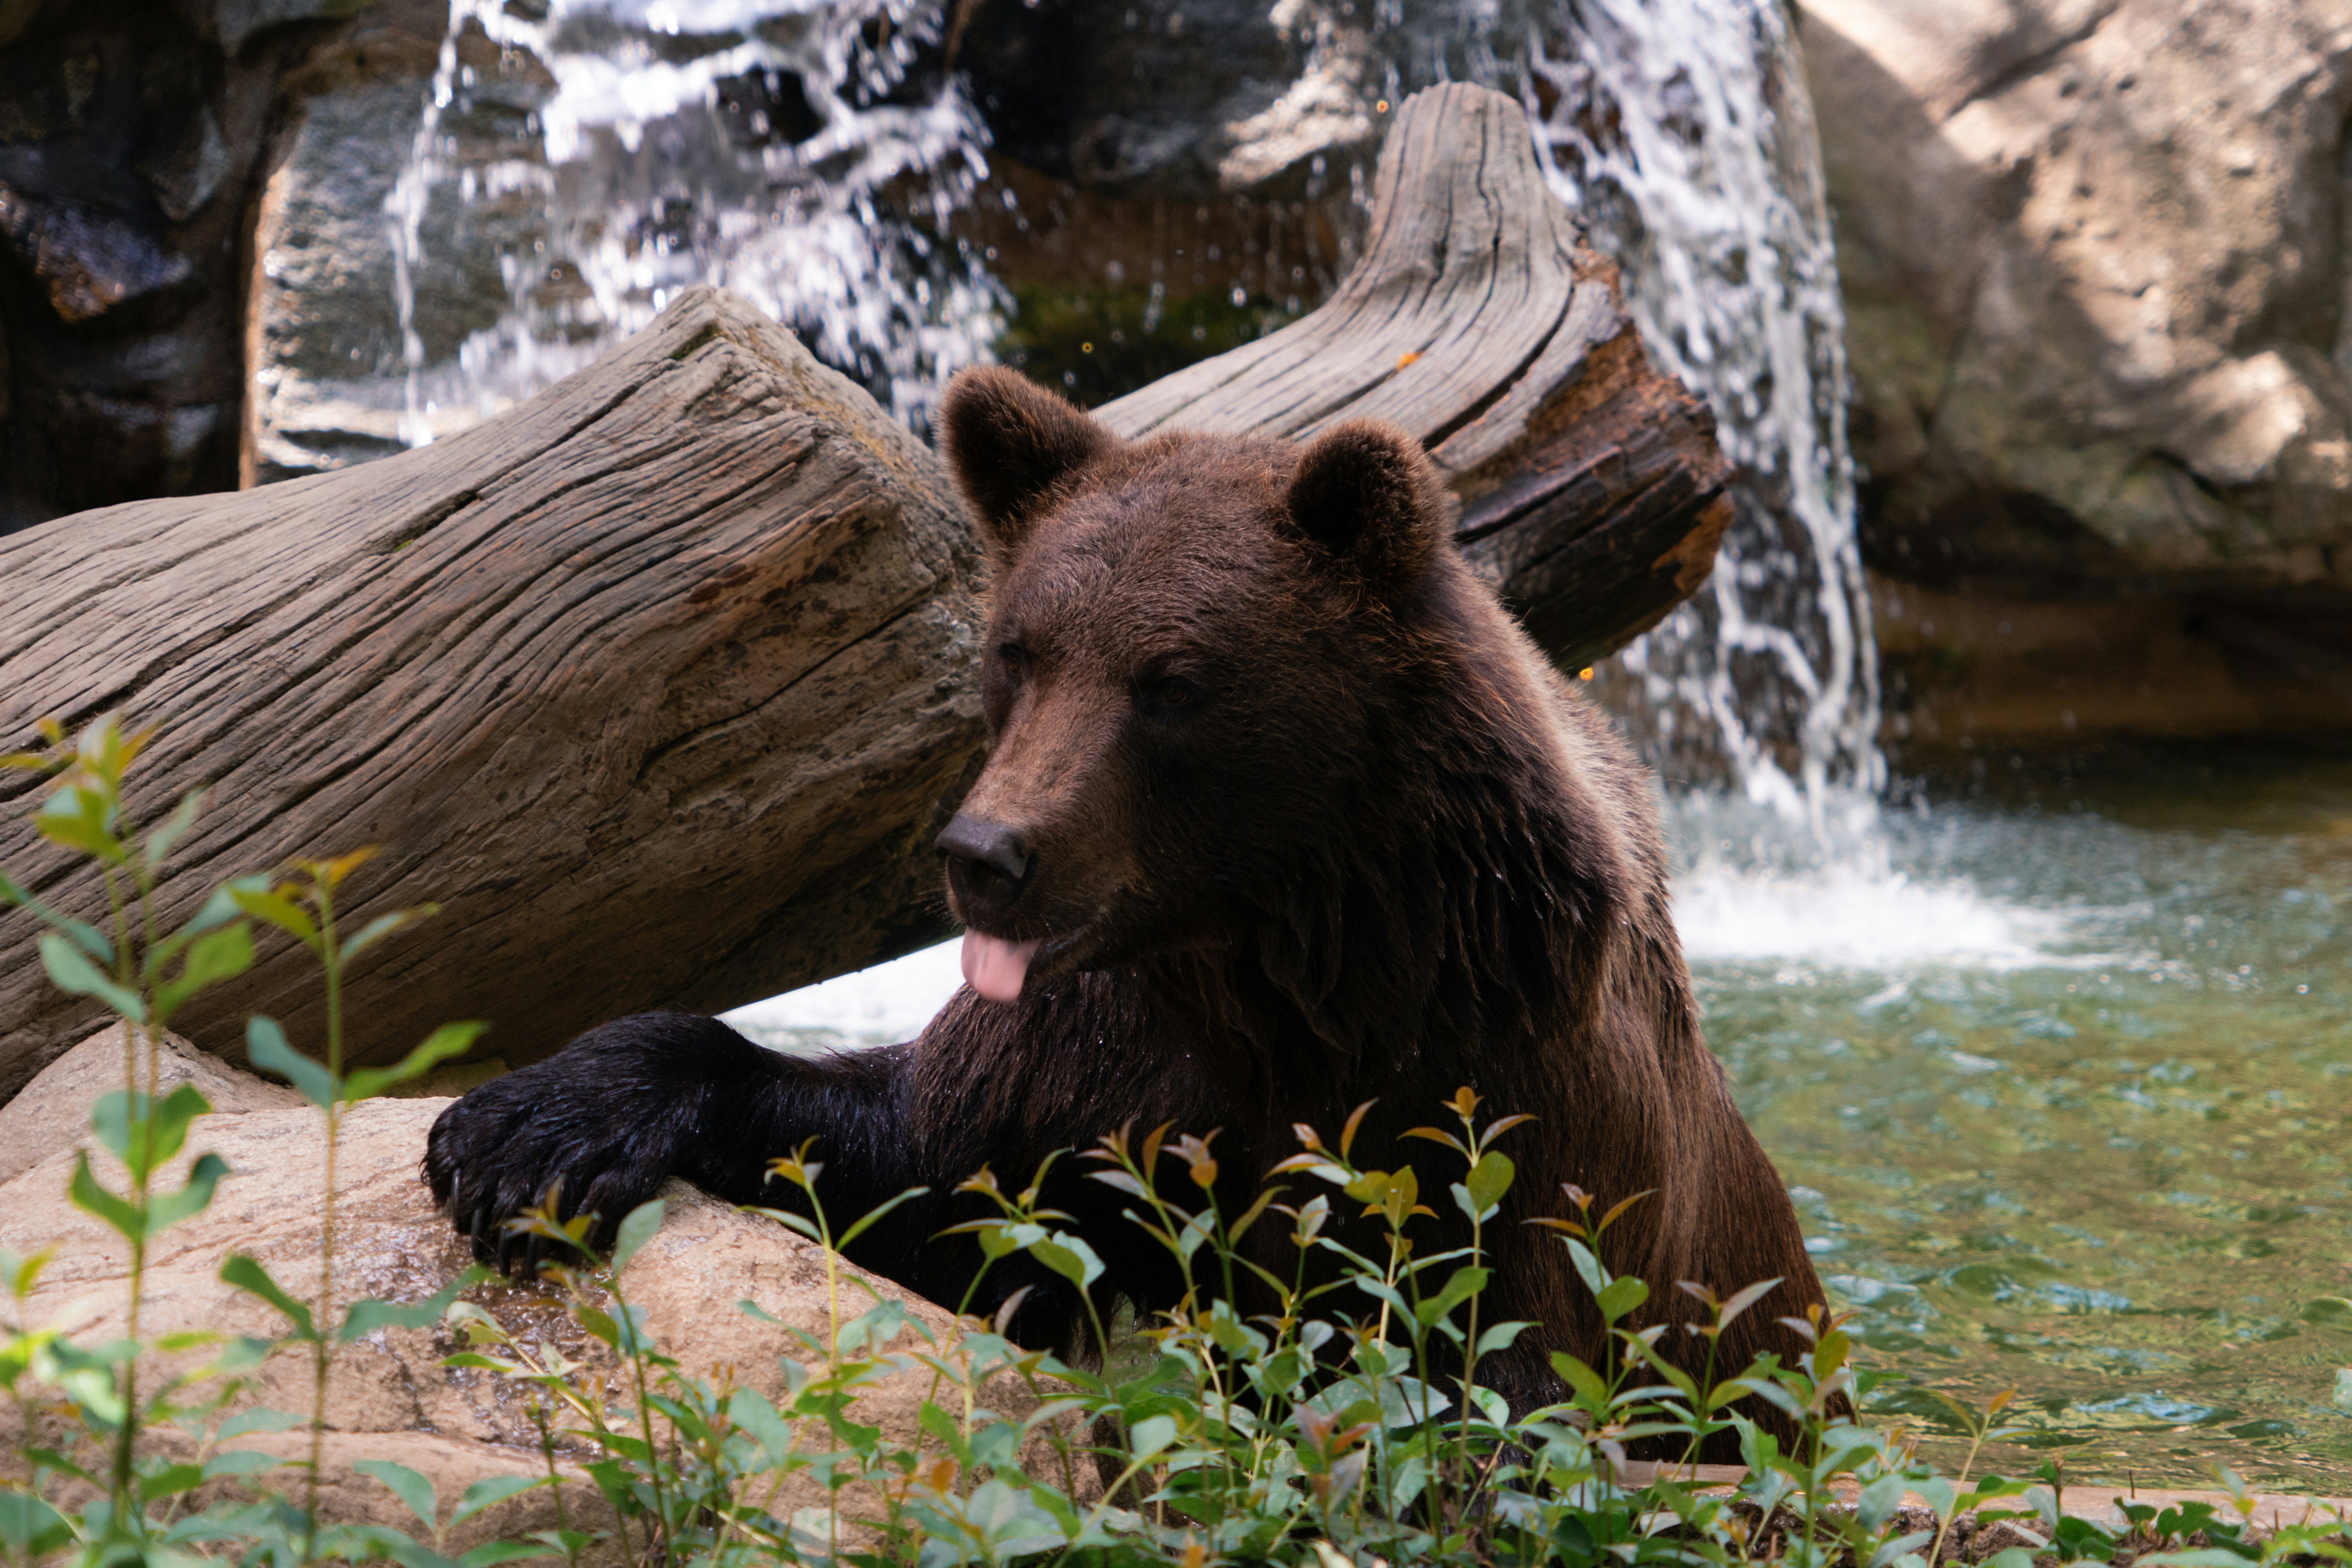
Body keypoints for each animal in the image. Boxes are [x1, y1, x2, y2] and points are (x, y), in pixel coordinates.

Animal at [423, 366, 1835, 1446]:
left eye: (1174, 680)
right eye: (1019, 648)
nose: (987, 854)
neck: (1268, 954)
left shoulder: (1492, 1083)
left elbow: (1489, 1355)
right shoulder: (1107, 1064)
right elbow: (922, 1171)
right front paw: (521, 1136)